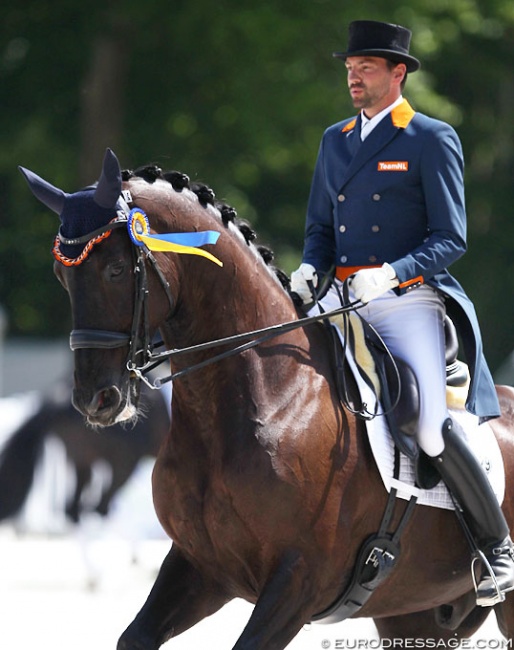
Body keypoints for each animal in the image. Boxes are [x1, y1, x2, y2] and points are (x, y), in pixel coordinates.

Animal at [18, 149, 512, 644]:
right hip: (411, 613)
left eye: (116, 270)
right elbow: (134, 637)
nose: (95, 399)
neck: (270, 400)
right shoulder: (201, 566)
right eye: (61, 274)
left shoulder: (298, 582)